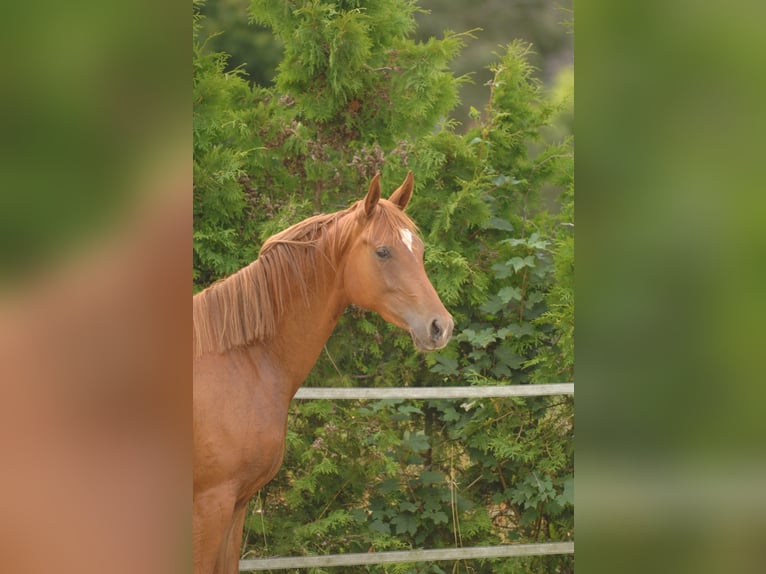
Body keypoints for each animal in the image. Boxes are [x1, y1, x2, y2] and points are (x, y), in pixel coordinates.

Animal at [194, 173, 456, 572]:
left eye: (420, 250)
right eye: (383, 251)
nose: (441, 326)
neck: (242, 360)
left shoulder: (237, 506)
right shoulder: (211, 507)